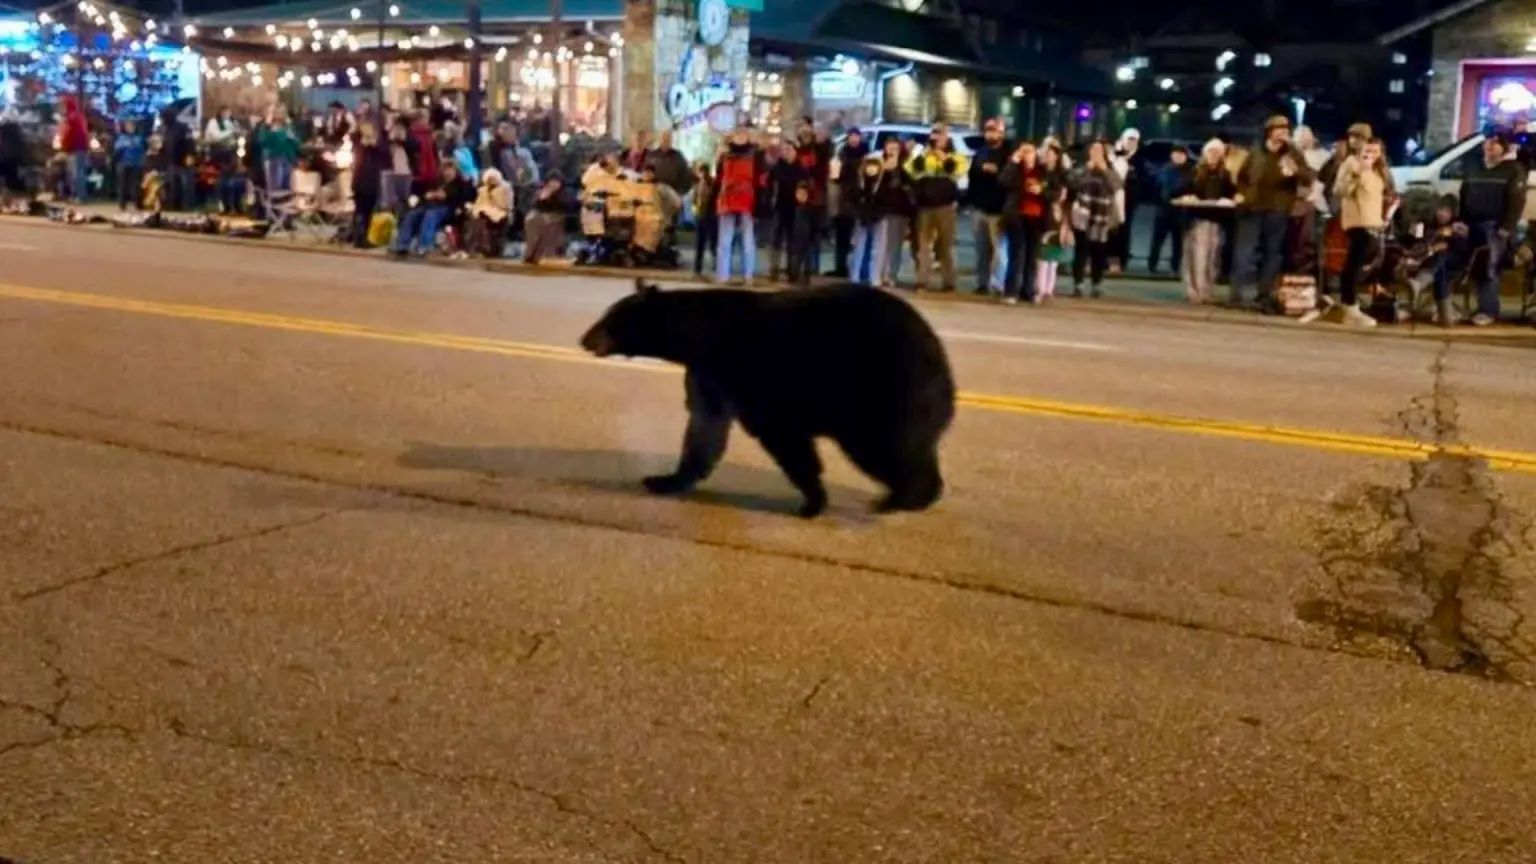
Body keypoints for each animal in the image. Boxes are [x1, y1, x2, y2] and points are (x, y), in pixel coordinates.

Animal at [580, 279, 956, 518]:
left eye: (609, 319)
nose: (584, 339)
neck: (701, 335)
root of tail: (942, 363)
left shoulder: (751, 376)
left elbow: (783, 438)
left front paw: (812, 502)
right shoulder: (710, 374)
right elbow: (705, 428)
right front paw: (665, 480)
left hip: (881, 393)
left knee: (886, 449)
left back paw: (901, 497)